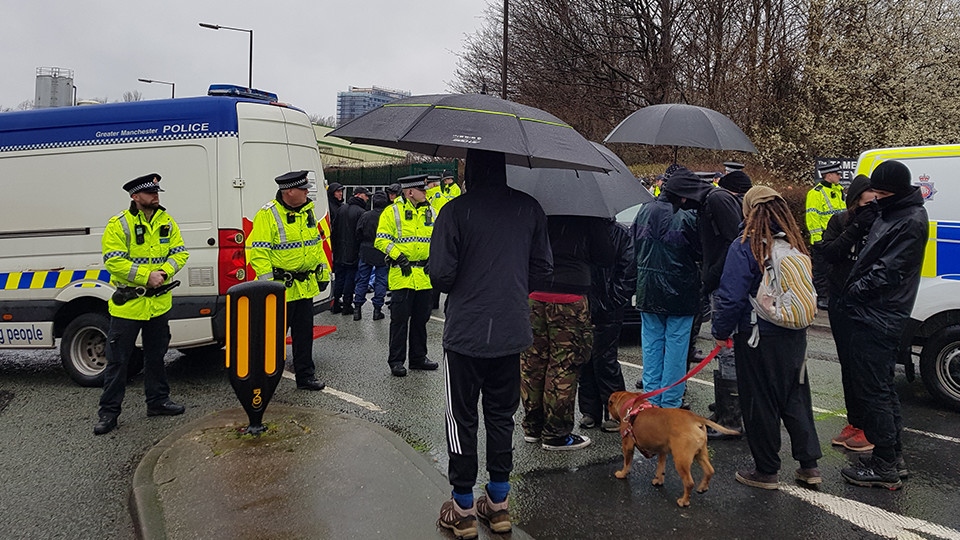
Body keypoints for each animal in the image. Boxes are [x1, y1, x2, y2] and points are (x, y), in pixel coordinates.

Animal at [608, 388, 744, 506]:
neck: (631, 404)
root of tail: (695, 418)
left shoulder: (627, 446)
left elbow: (627, 463)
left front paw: (622, 473)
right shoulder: (662, 451)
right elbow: (660, 468)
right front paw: (658, 480)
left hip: (681, 460)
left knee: (689, 483)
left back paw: (684, 501)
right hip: (701, 454)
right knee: (709, 471)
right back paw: (702, 487)